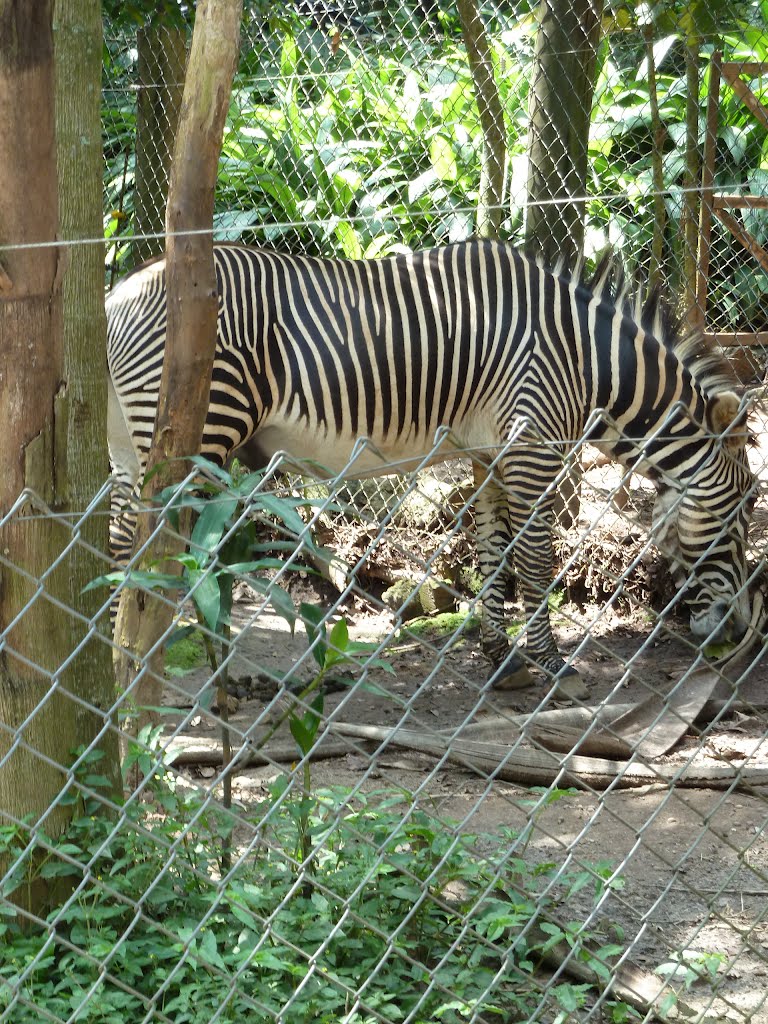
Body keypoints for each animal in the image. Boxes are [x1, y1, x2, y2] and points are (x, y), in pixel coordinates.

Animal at [107, 240, 757, 704]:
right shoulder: (533, 450)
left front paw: (504, 661)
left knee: (117, 547)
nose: (739, 633)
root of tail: (117, 296)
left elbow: (495, 553)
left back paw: (117, 670)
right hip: (198, 432)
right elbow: (535, 560)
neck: (585, 362)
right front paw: (553, 666)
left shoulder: (492, 456)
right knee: (152, 549)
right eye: (747, 508)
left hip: (132, 447)